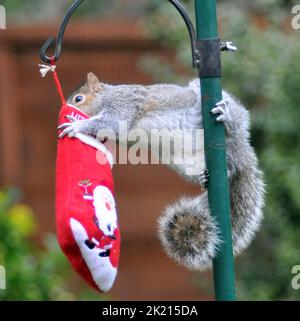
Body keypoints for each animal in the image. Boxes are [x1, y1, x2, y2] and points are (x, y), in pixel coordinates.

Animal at [58, 72, 264, 270]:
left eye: (78, 99)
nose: (65, 111)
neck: (106, 97)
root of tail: (241, 152)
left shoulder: (123, 105)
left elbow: (111, 123)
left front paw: (76, 125)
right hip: (182, 161)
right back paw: (204, 177)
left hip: (216, 109)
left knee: (236, 123)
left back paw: (227, 117)